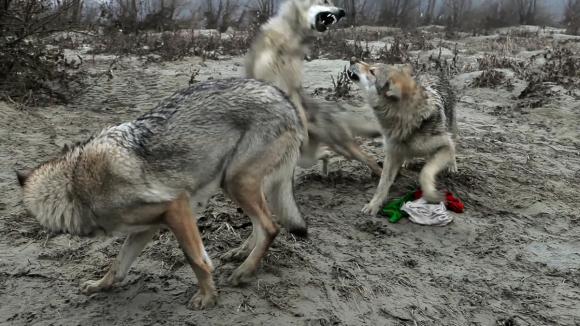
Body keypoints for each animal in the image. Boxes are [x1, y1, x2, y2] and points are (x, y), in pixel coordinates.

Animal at [16, 78, 306, 308]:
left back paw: (244, 272)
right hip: (237, 185)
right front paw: (99, 286)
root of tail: (283, 97)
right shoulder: (145, 228)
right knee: (262, 223)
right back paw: (241, 253)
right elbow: (117, 266)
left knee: (271, 227)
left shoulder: (176, 207)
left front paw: (207, 297)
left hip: (236, 183)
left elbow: (196, 260)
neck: (76, 185)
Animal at [348, 60, 458, 215]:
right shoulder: (392, 153)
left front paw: (431, 195)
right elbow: (382, 183)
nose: (353, 60)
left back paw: (452, 166)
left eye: (372, 71)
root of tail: (430, 70)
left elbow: (425, 172)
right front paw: (373, 205)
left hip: (451, 130)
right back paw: (408, 160)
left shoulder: (444, 145)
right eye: (370, 65)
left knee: (454, 145)